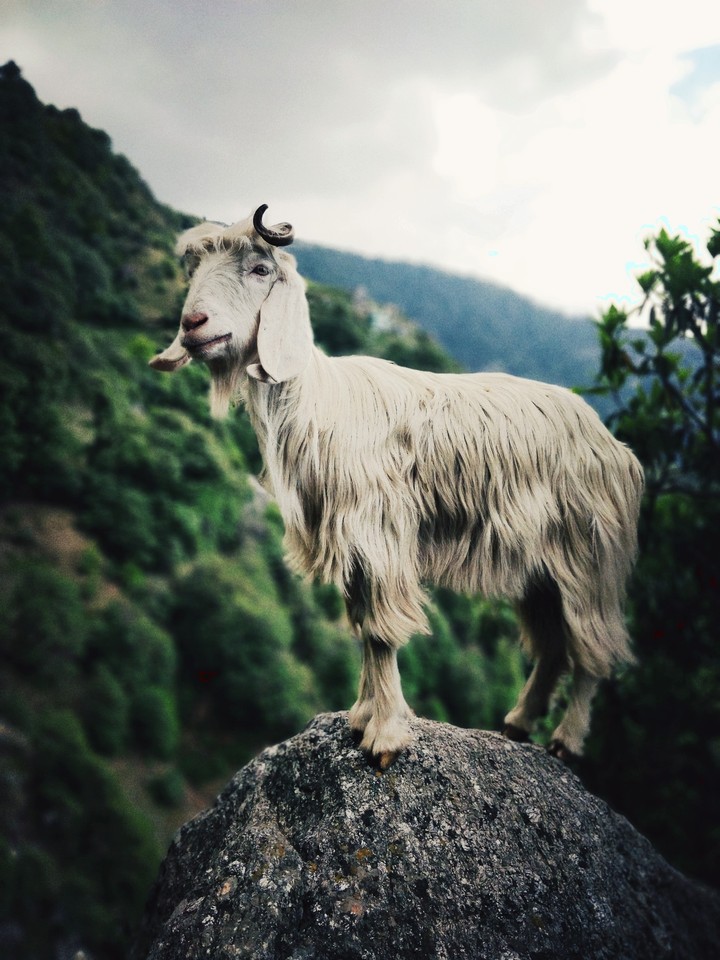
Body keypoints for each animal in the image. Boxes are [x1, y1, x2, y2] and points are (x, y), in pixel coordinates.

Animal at [150, 204, 644, 769]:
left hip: (590, 556)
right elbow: (363, 628)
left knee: (593, 645)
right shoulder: (352, 547)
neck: (320, 402)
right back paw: (518, 723)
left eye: (259, 268)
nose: (193, 325)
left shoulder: (379, 534)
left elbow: (382, 632)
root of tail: (616, 447)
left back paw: (566, 739)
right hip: (538, 570)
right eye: (193, 269)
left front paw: (384, 738)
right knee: (553, 646)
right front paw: (361, 716)